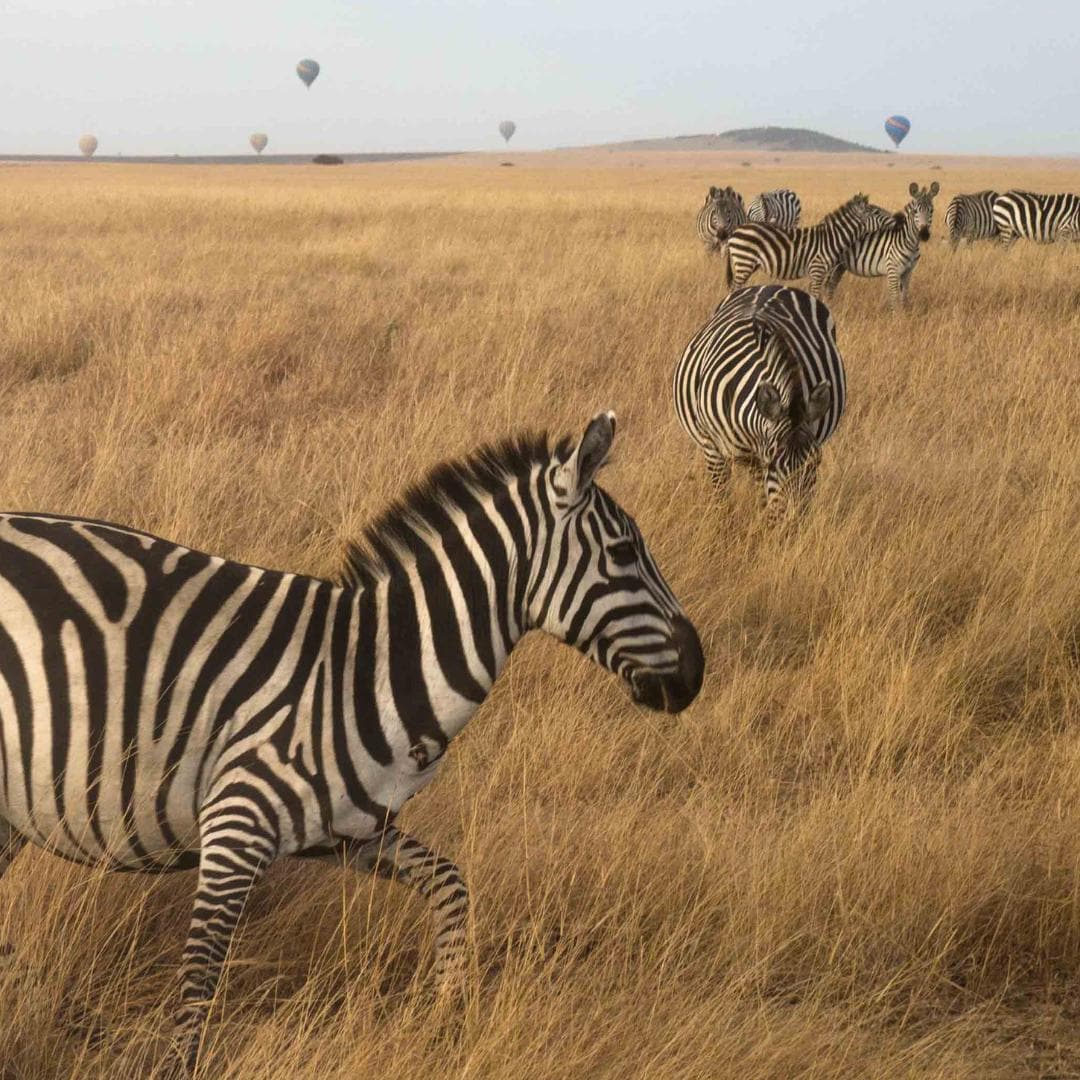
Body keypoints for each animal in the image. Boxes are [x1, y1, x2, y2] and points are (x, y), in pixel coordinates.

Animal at [0, 414, 704, 1073]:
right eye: (623, 551)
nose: (697, 674)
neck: (371, 668)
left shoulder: (354, 829)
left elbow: (452, 886)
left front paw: (447, 1020)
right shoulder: (235, 825)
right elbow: (199, 983)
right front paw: (178, 1068)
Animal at [673, 284, 846, 521]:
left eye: (816, 462)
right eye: (771, 464)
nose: (795, 523)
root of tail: (774, 285)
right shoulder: (713, 447)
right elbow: (722, 498)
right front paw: (724, 526)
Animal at [725, 194, 894, 296]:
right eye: (876, 212)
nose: (895, 218)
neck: (832, 239)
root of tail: (736, 230)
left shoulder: (820, 272)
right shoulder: (817, 269)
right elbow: (816, 295)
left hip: (748, 264)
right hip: (744, 261)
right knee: (734, 287)